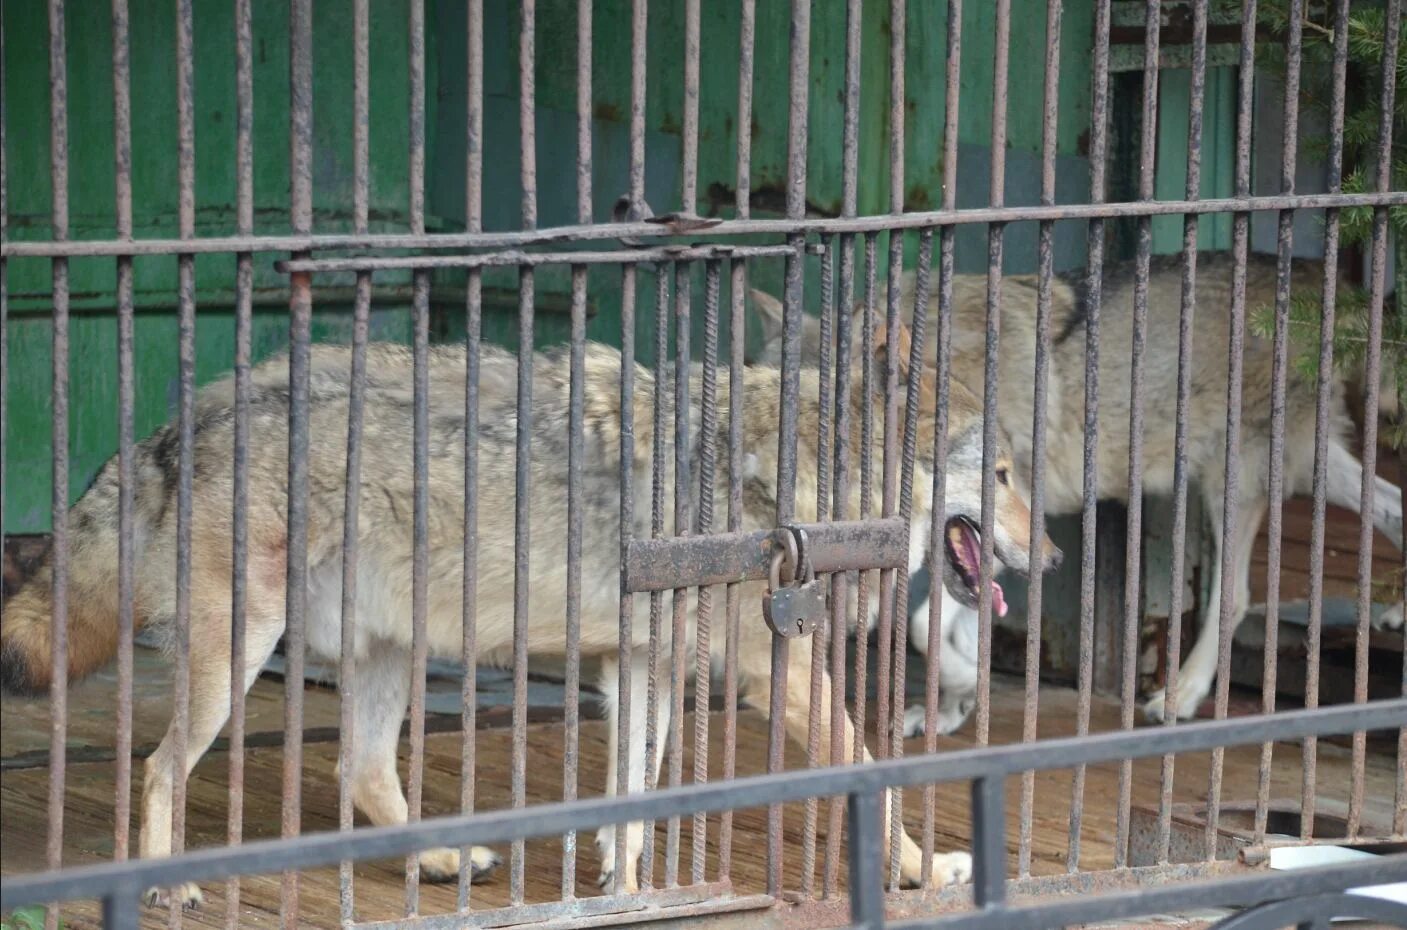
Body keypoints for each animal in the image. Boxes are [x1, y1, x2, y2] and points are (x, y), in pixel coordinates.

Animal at [0, 320, 1058, 906]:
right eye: (1004, 474)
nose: (1050, 559)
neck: (798, 472)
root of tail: (187, 414)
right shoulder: (778, 670)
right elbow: (875, 774)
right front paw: (920, 871)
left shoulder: (642, 670)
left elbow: (637, 792)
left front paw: (630, 887)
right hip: (239, 660)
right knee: (158, 768)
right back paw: (168, 884)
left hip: (386, 652)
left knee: (359, 766)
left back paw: (438, 863)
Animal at [759, 250, 1407, 731]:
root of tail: (1320, 279)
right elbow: (948, 623)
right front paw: (954, 707)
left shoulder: (1009, 522)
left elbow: (927, 628)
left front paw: (966, 687)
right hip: (1308, 468)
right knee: (1394, 507)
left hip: (1237, 479)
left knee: (1239, 595)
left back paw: (1180, 694)